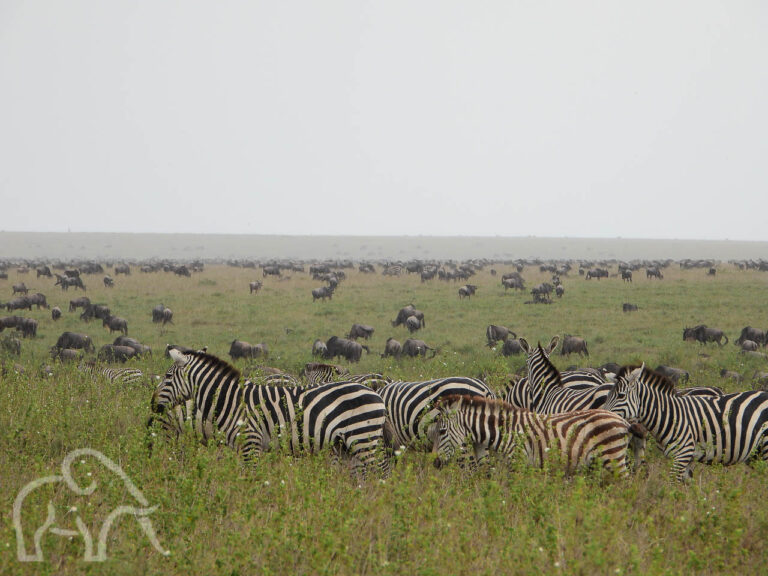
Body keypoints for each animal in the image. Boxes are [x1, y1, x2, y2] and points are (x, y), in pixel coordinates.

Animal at [150, 346, 390, 476]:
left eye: (168, 377)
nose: (153, 405)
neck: (232, 401)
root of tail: (376, 393)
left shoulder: (251, 444)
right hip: (347, 445)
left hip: (363, 438)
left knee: (381, 471)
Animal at [436, 396, 644, 476]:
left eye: (441, 432)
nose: (435, 464)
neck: (504, 432)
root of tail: (624, 421)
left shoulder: (518, 463)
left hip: (614, 458)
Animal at [600, 364, 768, 482]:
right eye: (608, 395)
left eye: (621, 396)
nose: (603, 413)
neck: (670, 416)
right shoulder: (687, 460)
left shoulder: (682, 455)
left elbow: (672, 487)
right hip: (756, 453)